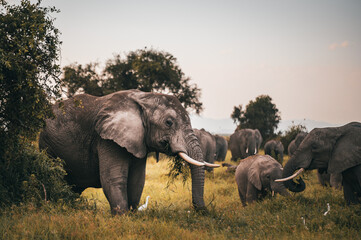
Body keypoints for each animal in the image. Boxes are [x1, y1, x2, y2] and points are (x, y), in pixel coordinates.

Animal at [38, 89, 218, 214]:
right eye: (168, 122)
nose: (203, 211)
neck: (144, 97)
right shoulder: (107, 139)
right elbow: (113, 178)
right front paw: (122, 217)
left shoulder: (138, 140)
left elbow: (137, 180)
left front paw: (132, 215)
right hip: (47, 145)